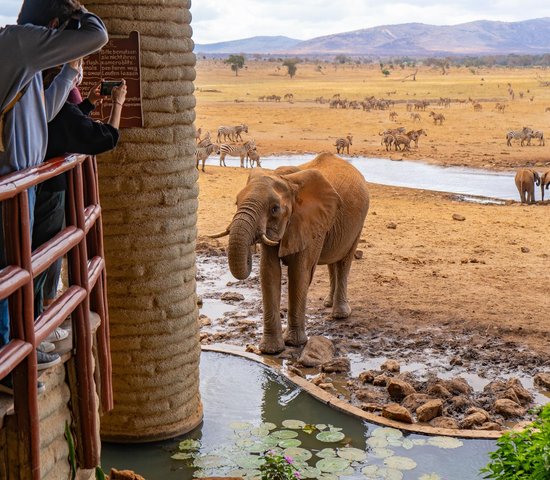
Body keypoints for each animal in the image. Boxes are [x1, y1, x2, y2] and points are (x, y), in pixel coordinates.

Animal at [211, 152, 370, 354]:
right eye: (236, 202)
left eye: (275, 209)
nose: (250, 250)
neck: (286, 180)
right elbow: (269, 272)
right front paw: (271, 350)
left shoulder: (309, 223)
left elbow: (298, 273)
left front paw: (294, 343)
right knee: (332, 262)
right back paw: (327, 303)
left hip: (358, 222)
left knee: (343, 261)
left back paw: (340, 314)